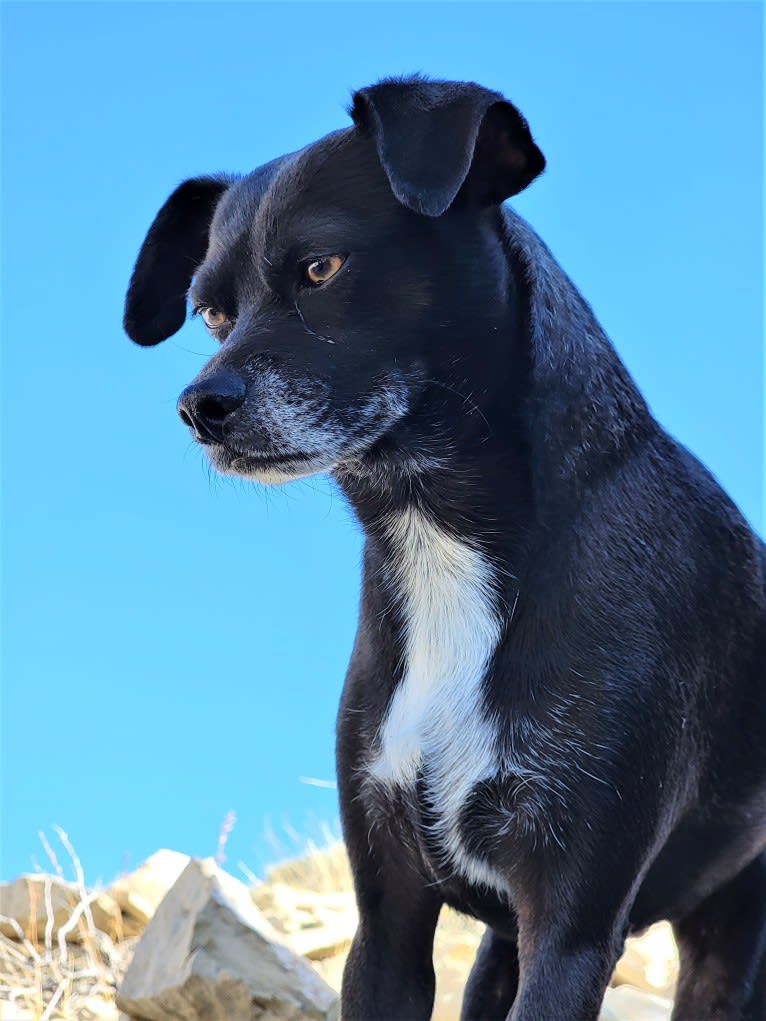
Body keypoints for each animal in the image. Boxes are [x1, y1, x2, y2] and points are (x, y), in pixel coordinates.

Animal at [123, 75, 763, 1016]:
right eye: (210, 312)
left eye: (322, 267)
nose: (198, 407)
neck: (438, 536)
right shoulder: (388, 917)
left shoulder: (572, 929)